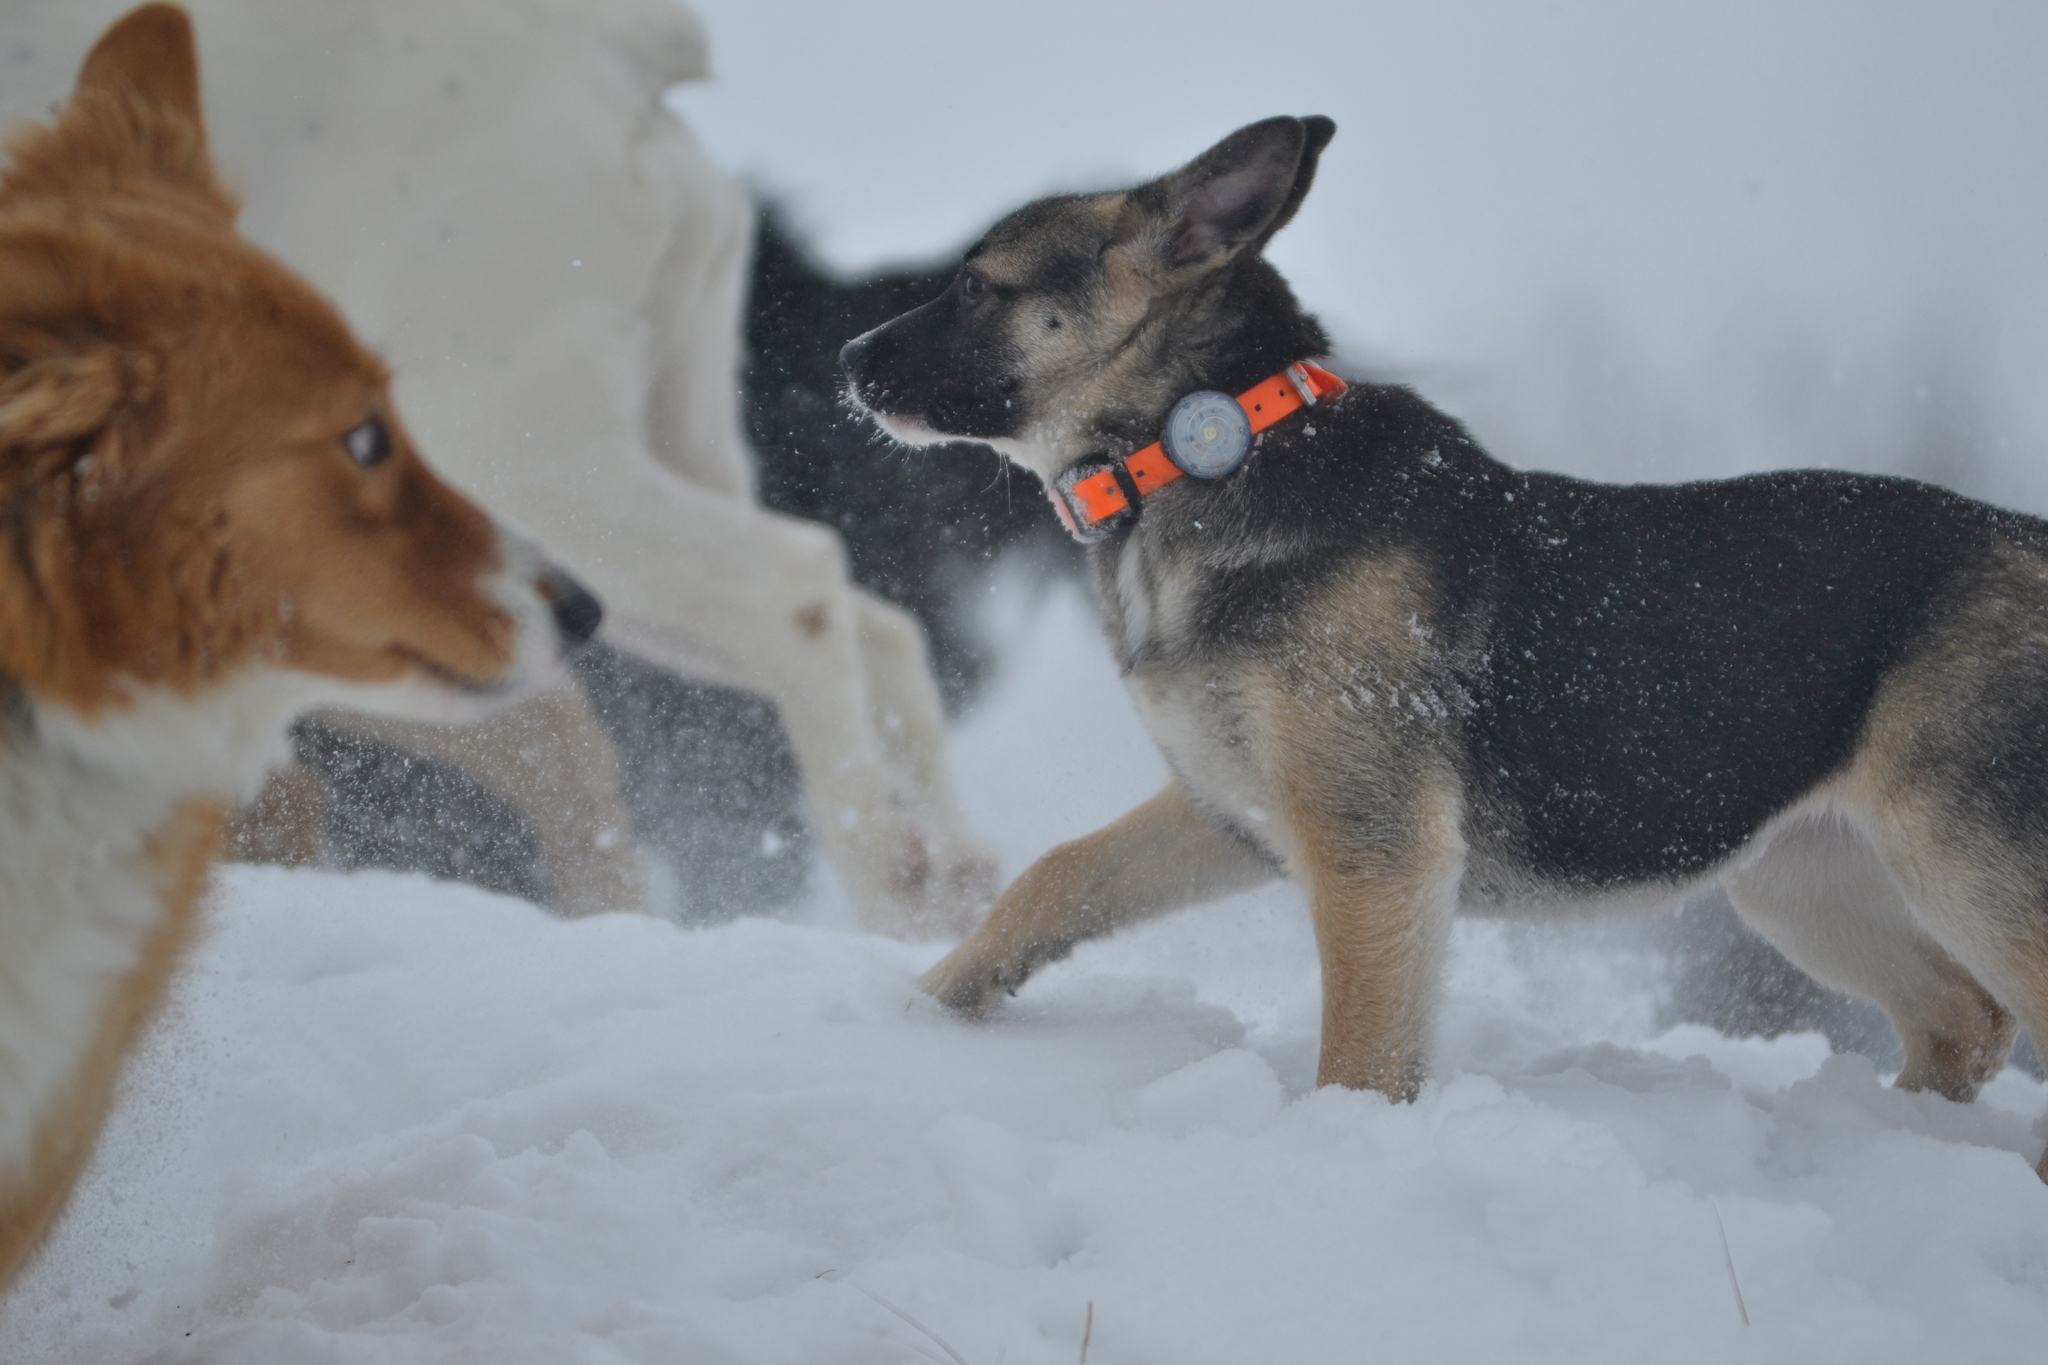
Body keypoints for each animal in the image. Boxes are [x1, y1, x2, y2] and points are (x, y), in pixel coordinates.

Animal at [847, 114, 2048, 1178]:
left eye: (974, 285)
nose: (848, 357)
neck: (1204, 454)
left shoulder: (1369, 850)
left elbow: (1360, 1051)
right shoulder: (1232, 810)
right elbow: (1053, 879)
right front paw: (924, 1012)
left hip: (1962, 863)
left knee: (1989, 1005)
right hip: (1803, 876)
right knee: (1965, 1019)